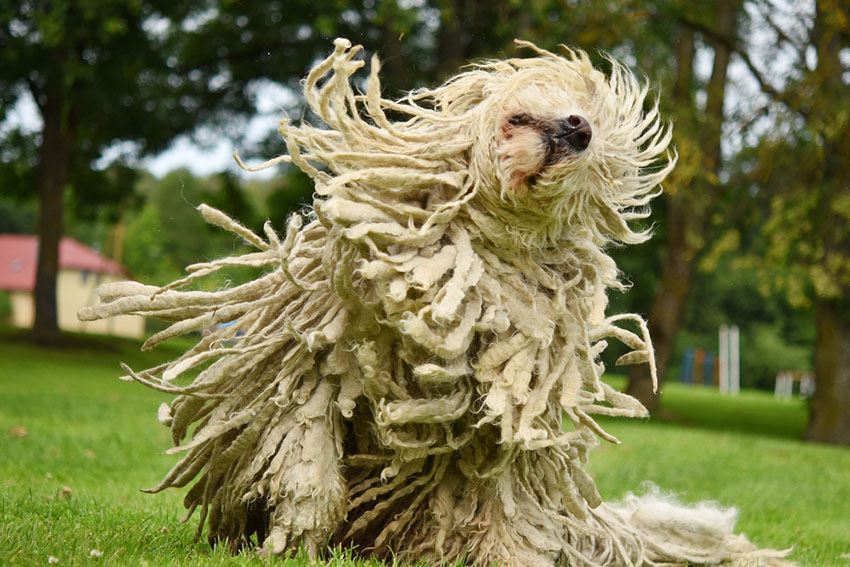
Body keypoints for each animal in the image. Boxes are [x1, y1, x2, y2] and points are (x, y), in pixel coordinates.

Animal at [79, 37, 788, 564]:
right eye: (578, 96)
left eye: (595, 154)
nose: (577, 129)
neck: (459, 257)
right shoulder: (318, 352)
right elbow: (306, 438)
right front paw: (297, 526)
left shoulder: (501, 404)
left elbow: (491, 485)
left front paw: (502, 551)